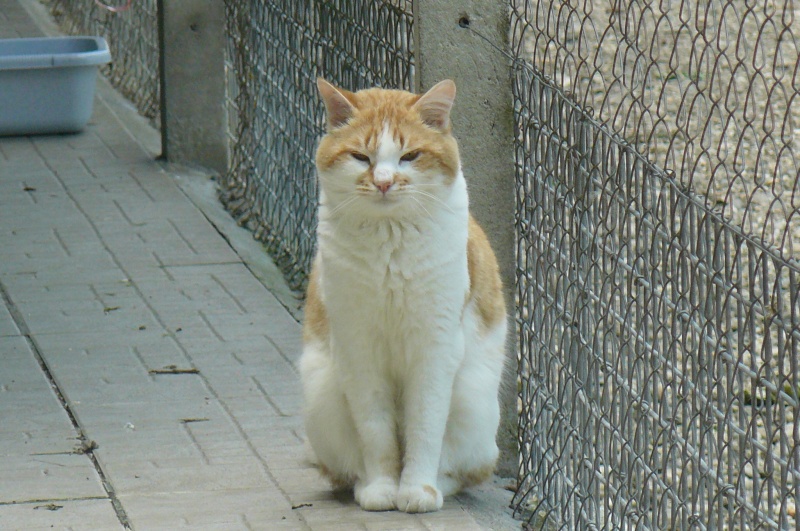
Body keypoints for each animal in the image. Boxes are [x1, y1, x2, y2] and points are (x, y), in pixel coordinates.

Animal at [300, 80, 506, 516]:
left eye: (409, 155)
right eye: (361, 156)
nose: (383, 182)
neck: (389, 243)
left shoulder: (434, 349)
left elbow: (425, 427)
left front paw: (417, 490)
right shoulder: (359, 350)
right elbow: (376, 432)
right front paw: (382, 488)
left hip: (474, 402)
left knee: (466, 470)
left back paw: (438, 485)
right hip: (321, 397)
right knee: (343, 469)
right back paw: (364, 484)